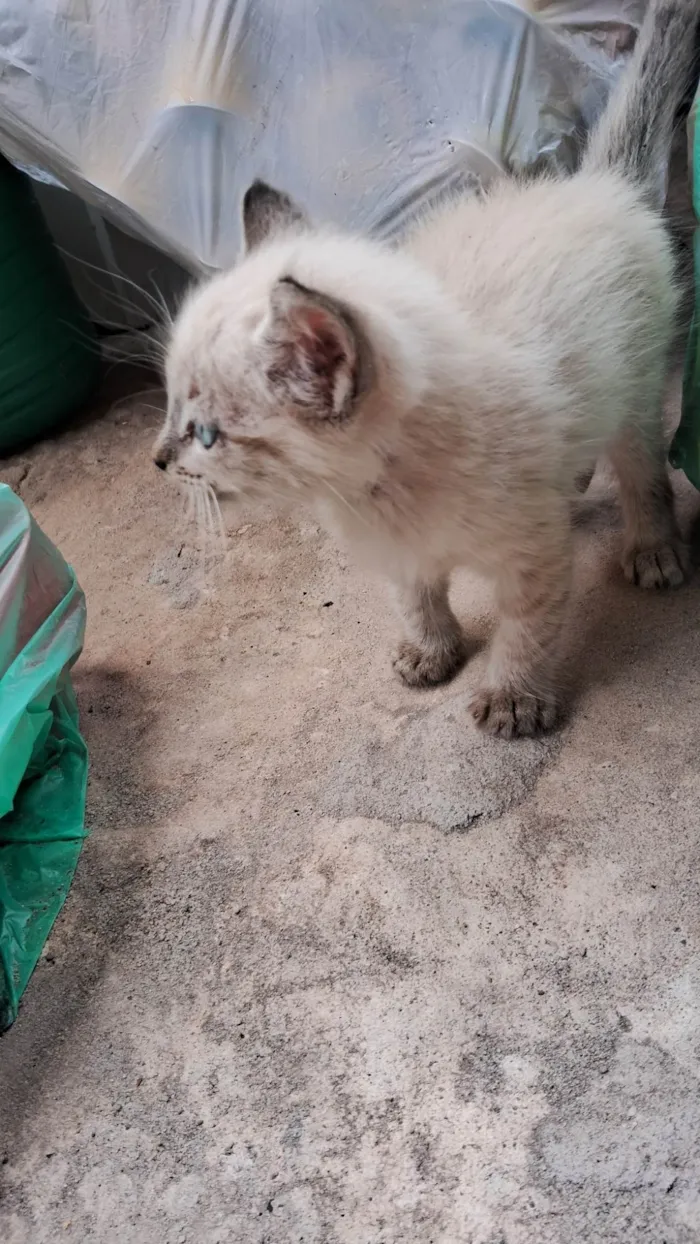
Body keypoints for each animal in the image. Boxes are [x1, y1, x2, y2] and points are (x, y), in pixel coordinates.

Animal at [154, 0, 700, 736]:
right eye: (170, 409)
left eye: (206, 434)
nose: (158, 459)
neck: (380, 494)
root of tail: (595, 186)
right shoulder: (402, 553)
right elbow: (414, 595)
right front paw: (431, 651)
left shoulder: (534, 554)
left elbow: (527, 627)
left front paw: (512, 696)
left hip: (635, 386)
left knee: (643, 468)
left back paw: (652, 548)